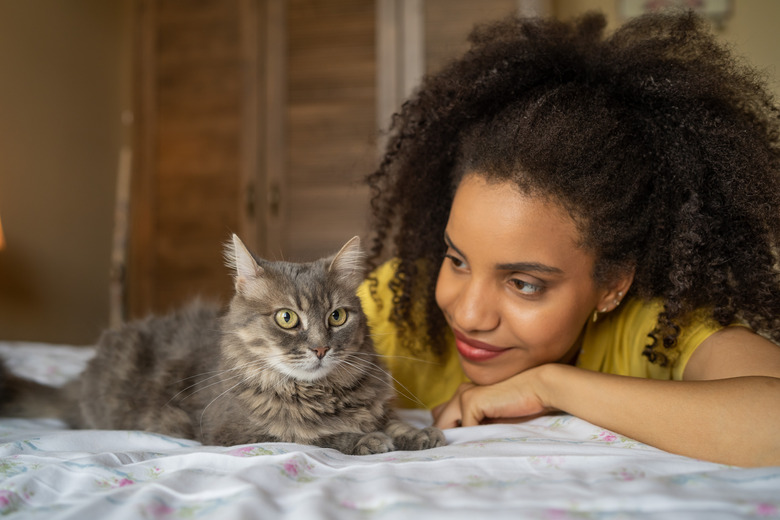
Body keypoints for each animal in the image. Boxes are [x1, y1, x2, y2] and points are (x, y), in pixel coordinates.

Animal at [0, 236, 444, 456]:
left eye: (337, 317)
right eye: (287, 318)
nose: (320, 349)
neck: (321, 392)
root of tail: (78, 382)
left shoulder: (377, 407)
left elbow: (391, 421)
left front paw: (418, 433)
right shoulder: (234, 431)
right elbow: (308, 436)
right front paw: (364, 439)